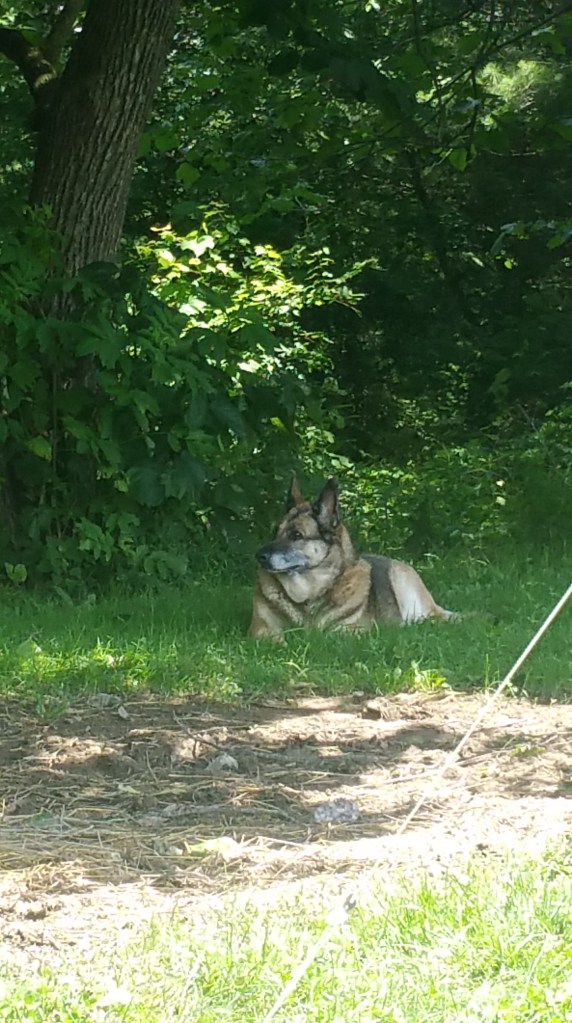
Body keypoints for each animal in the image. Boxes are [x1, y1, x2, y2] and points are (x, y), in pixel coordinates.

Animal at [249, 477, 456, 638]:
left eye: (296, 535)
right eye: (275, 532)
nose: (259, 556)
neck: (310, 596)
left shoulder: (351, 631)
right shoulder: (260, 630)